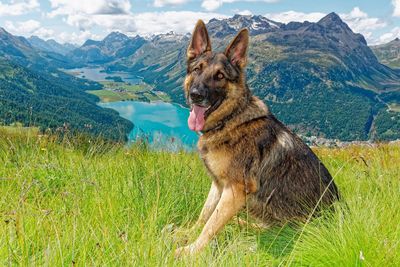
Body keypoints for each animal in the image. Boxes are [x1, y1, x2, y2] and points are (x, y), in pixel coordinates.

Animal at [175, 19, 338, 258]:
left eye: (220, 76)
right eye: (197, 70)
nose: (196, 95)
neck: (231, 119)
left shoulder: (234, 190)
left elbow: (211, 224)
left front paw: (190, 251)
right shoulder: (218, 185)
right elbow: (205, 214)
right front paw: (186, 233)